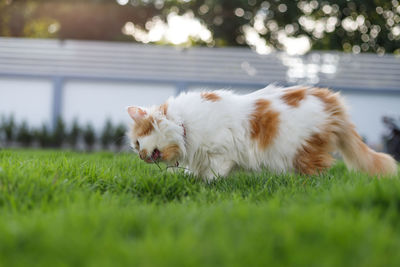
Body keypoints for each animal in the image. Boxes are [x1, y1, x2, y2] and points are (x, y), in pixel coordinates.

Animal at [126, 86, 396, 182]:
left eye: (138, 142)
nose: (139, 156)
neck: (184, 125)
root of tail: (331, 99)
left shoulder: (221, 153)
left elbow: (213, 174)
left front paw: (205, 184)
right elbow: (193, 172)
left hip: (302, 152)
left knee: (319, 174)